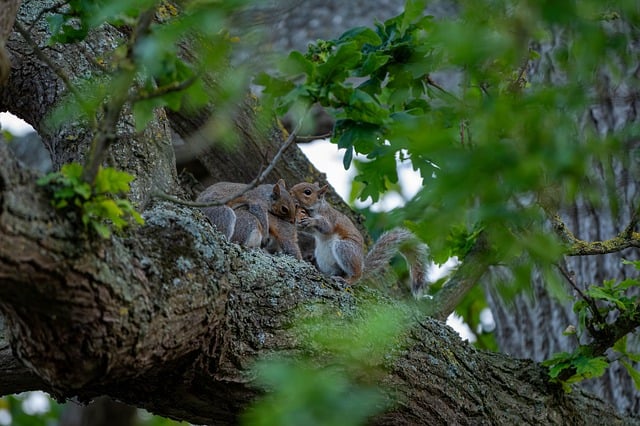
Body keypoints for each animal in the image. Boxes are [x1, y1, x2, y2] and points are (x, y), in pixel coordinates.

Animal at [290, 182, 430, 297]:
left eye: (307, 192)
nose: (290, 192)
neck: (316, 209)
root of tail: (361, 265)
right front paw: (297, 222)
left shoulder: (330, 217)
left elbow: (326, 227)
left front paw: (312, 221)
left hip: (345, 248)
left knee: (356, 275)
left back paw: (348, 280)